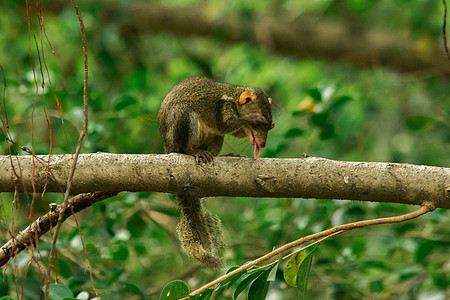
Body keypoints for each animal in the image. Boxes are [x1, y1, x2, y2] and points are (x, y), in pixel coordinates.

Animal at [158, 76, 274, 268]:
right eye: (260, 124)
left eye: (270, 126)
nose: (262, 144)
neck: (234, 98)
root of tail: (168, 147)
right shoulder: (223, 108)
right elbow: (227, 124)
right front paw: (251, 117)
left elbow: (233, 130)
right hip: (182, 118)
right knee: (183, 148)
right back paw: (193, 152)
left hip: (215, 138)